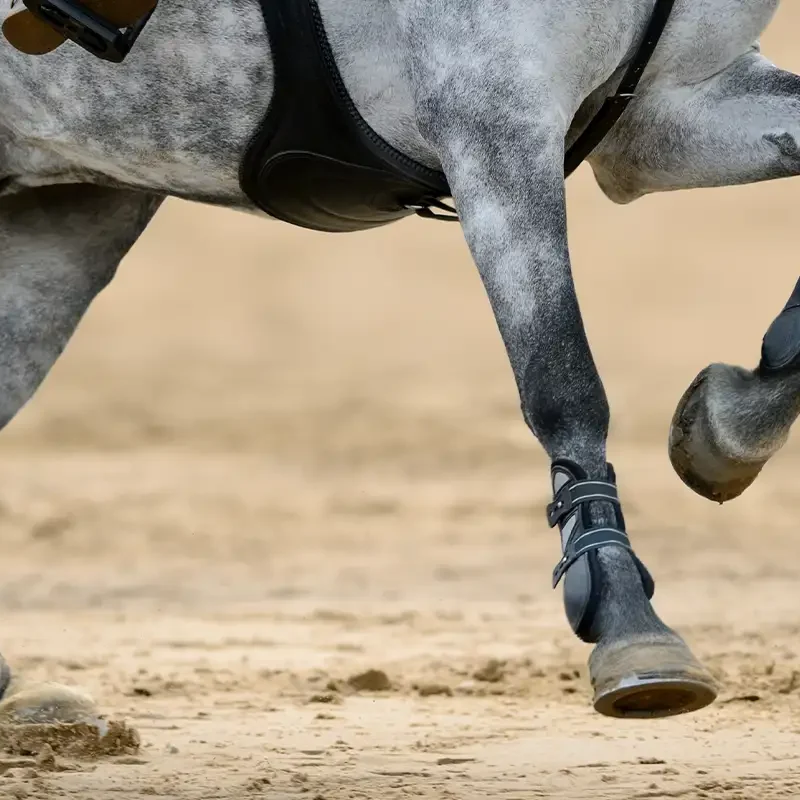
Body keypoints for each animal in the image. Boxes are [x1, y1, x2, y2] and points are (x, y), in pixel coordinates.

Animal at [0, 0, 796, 721]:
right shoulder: (494, 118)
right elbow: (561, 378)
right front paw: (625, 614)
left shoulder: (665, 113)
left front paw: (727, 429)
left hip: (65, 224)